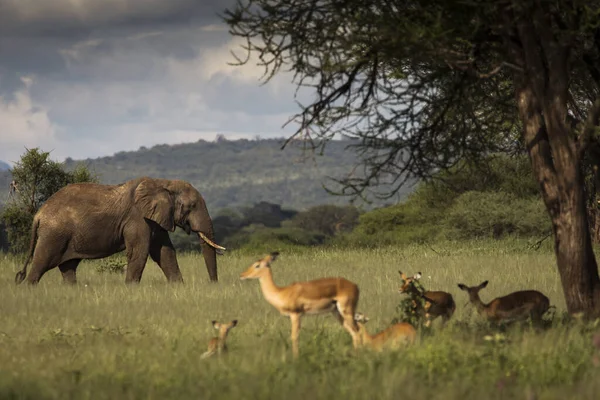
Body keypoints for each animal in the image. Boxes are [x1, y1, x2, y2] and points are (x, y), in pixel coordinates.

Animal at [14, 177, 226, 284]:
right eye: (192, 206)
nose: (213, 284)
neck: (164, 183)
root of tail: (39, 214)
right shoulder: (137, 218)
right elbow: (140, 252)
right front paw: (131, 289)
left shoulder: (156, 219)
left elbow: (165, 252)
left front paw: (178, 288)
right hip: (53, 234)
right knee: (41, 263)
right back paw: (29, 290)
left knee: (68, 268)